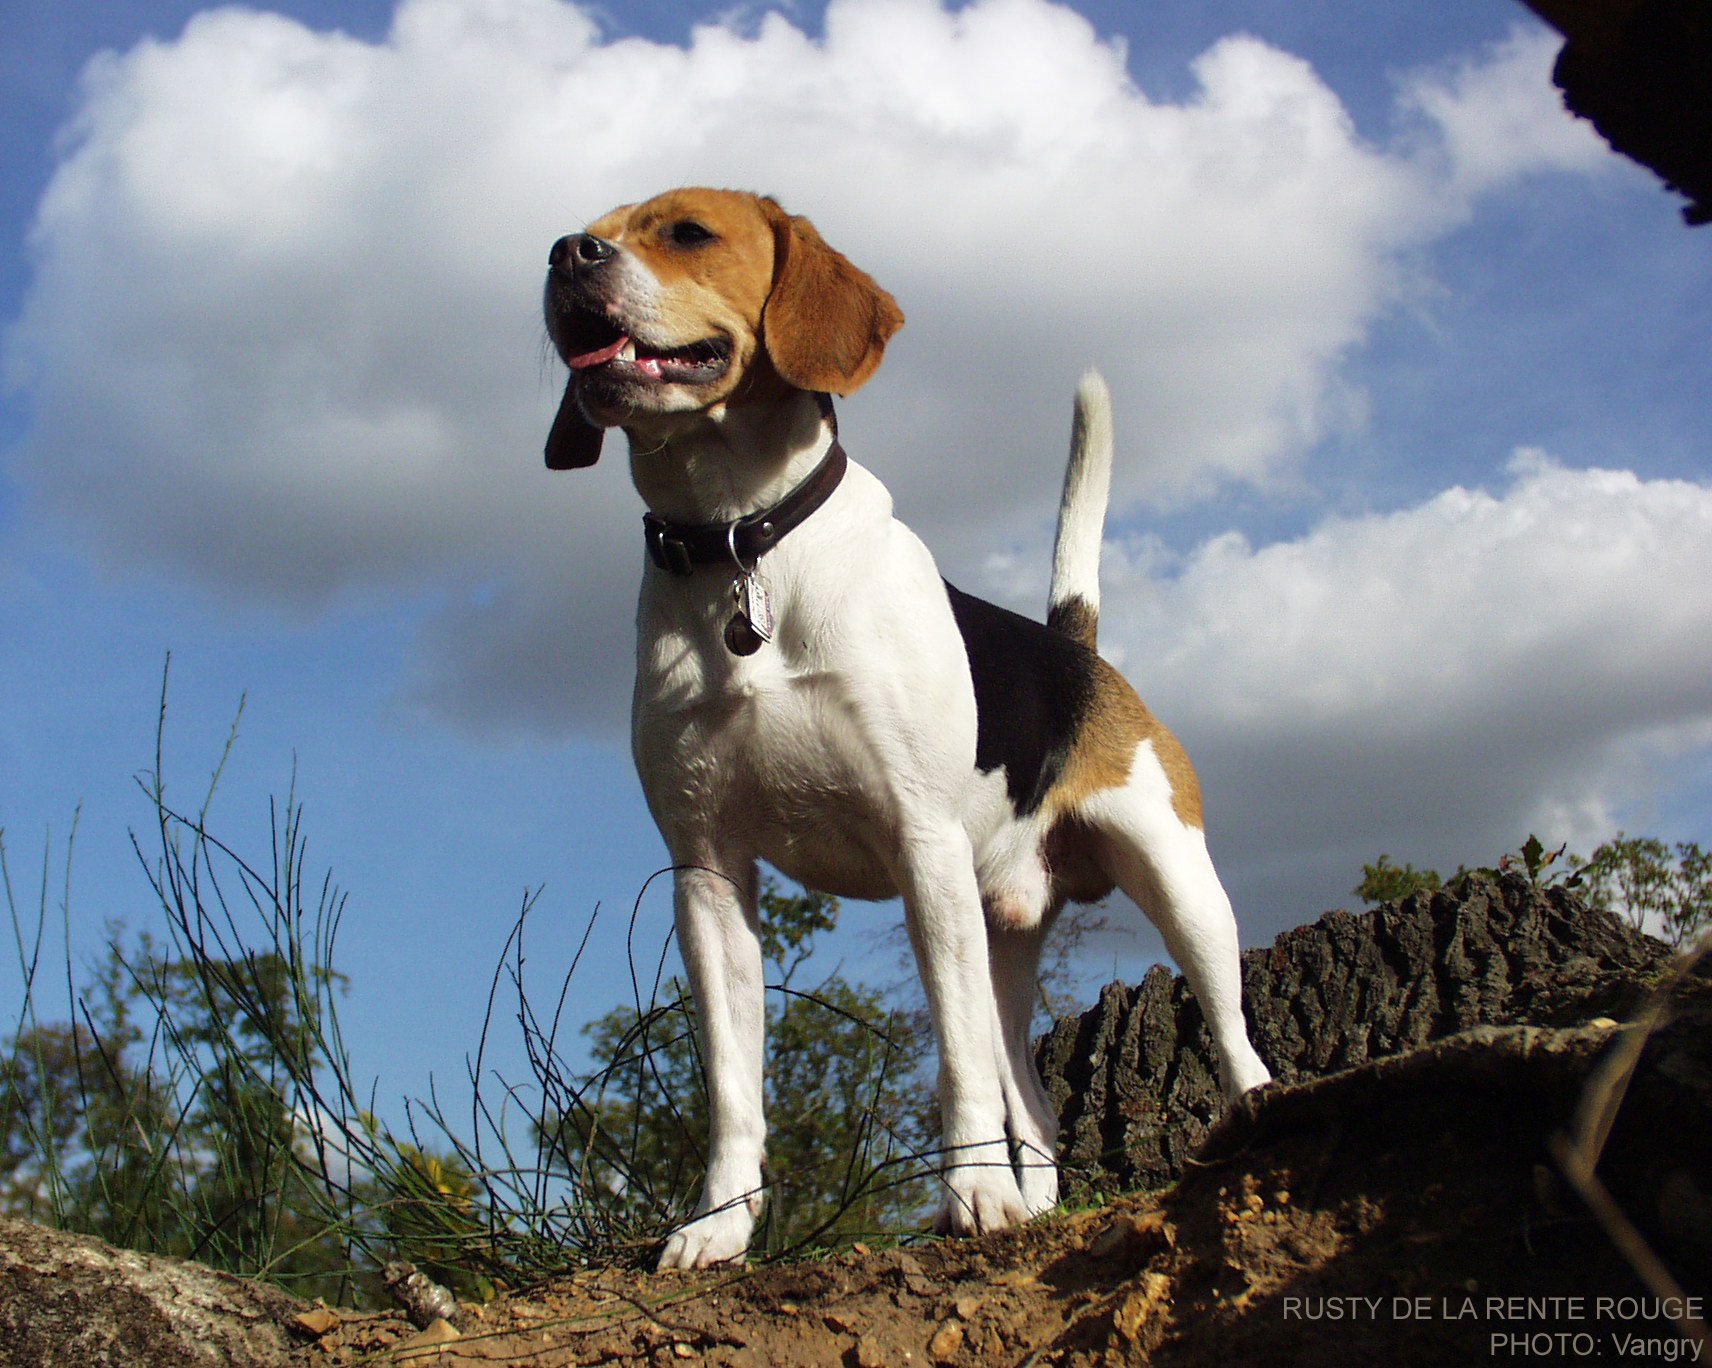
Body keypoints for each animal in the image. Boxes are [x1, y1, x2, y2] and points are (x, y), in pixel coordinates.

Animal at [540, 187, 1266, 1266]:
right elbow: (732, 1085)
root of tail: (1073, 649)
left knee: (1229, 1033)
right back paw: (1037, 1203)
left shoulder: (922, 848)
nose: (565, 255)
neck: (738, 542)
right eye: (593, 224)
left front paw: (973, 1198)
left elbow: (952, 1062)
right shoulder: (707, 873)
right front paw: (717, 1227)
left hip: (1175, 884)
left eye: (687, 232)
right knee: (1030, 1099)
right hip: (1000, 937)